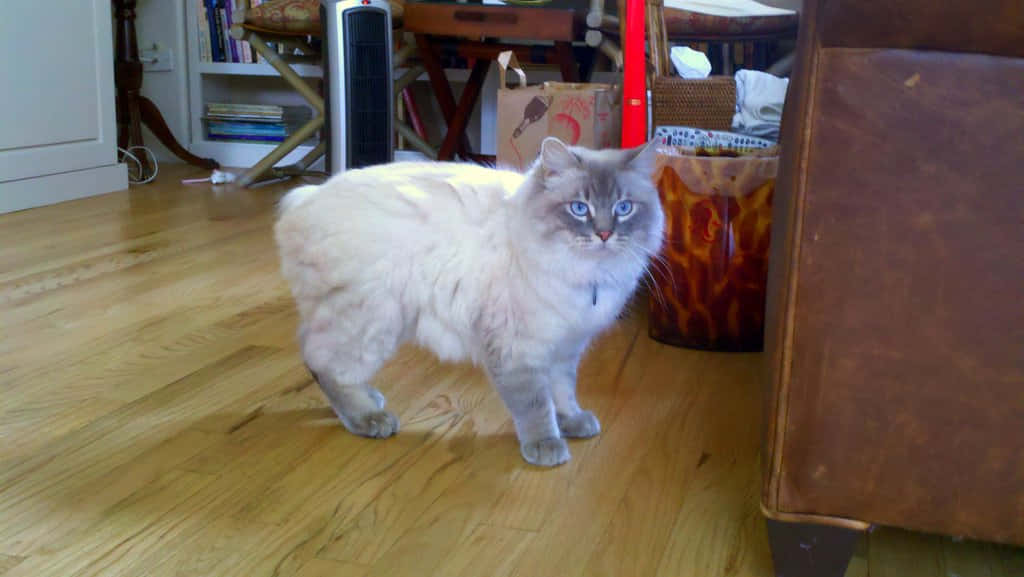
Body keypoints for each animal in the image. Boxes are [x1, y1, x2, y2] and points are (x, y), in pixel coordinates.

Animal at [274, 137, 663, 467]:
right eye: (580, 208)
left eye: (624, 208)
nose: (604, 234)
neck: (586, 274)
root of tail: (307, 195)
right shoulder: (521, 350)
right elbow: (536, 406)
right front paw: (546, 446)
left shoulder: (565, 347)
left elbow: (563, 393)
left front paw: (573, 422)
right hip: (370, 323)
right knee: (324, 364)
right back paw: (369, 418)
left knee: (318, 355)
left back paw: (370, 398)